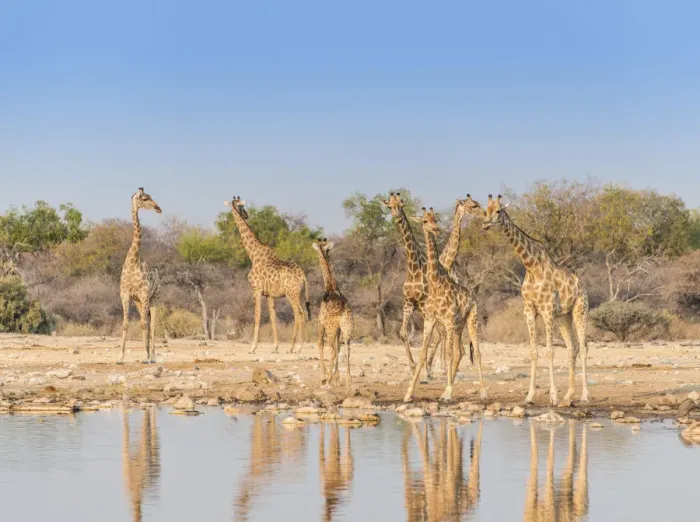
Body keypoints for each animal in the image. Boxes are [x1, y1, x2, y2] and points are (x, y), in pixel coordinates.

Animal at [224, 196, 311, 354]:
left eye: (242, 205)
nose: (245, 215)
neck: (253, 255)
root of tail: (303, 276)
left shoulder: (256, 289)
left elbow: (257, 315)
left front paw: (252, 347)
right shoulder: (269, 294)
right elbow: (272, 316)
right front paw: (275, 347)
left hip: (291, 293)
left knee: (299, 313)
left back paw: (296, 347)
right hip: (299, 293)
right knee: (300, 313)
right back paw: (293, 346)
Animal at [312, 238, 354, 388]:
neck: (330, 285)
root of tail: (342, 311)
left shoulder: (320, 322)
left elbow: (319, 343)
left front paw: (324, 377)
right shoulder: (339, 329)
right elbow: (339, 346)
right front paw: (337, 378)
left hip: (331, 328)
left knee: (333, 349)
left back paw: (328, 379)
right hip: (347, 327)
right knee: (346, 347)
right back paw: (348, 380)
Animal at [382, 192, 483, 377]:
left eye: (401, 205)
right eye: (390, 206)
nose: (397, 217)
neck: (414, 267)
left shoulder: (425, 307)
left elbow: (432, 338)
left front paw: (429, 369)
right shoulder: (408, 304)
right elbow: (404, 333)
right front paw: (414, 367)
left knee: (449, 341)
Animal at [403, 207, 485, 403]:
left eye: (435, 219)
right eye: (425, 221)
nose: (436, 229)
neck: (435, 282)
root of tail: (473, 296)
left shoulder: (446, 320)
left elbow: (447, 355)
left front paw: (448, 393)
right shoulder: (430, 319)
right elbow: (423, 353)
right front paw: (408, 394)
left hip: (472, 320)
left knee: (476, 353)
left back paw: (483, 392)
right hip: (458, 325)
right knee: (460, 352)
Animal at [482, 194, 590, 406]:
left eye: (498, 211)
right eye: (485, 210)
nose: (485, 224)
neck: (531, 265)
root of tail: (581, 285)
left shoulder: (547, 310)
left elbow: (550, 351)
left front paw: (553, 396)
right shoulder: (529, 311)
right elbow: (533, 352)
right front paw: (530, 396)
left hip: (579, 310)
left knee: (583, 346)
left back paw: (584, 395)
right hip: (564, 317)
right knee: (572, 347)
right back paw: (568, 396)